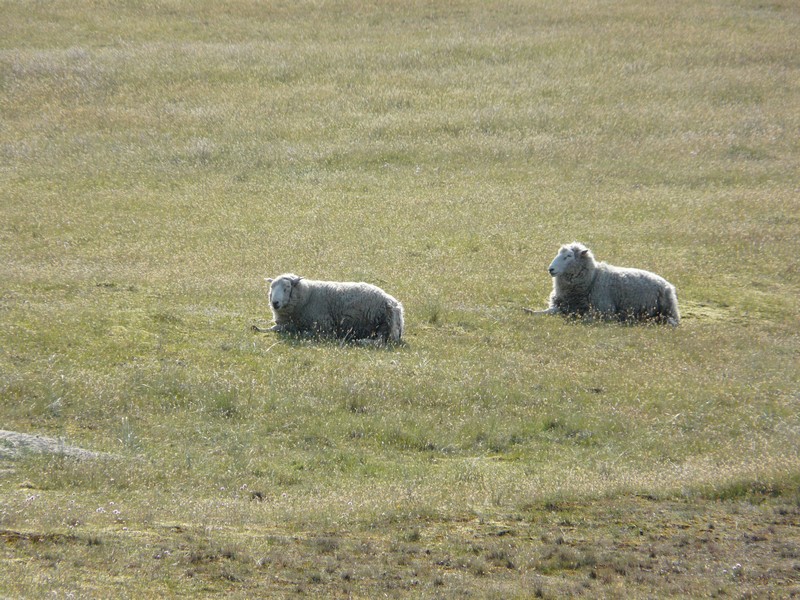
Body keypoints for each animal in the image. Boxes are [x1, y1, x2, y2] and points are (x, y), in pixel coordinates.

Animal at [256, 274, 404, 344]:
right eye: (272, 287)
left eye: (286, 288)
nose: (275, 303)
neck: (307, 296)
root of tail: (395, 303)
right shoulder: (288, 323)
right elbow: (274, 328)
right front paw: (258, 328)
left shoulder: (324, 326)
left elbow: (308, 334)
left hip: (384, 325)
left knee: (380, 342)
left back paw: (361, 341)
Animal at [532, 243, 680, 328]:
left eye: (568, 256)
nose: (550, 269)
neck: (592, 279)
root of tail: (668, 285)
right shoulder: (560, 305)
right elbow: (545, 312)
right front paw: (530, 312)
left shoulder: (604, 311)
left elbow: (586, 318)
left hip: (666, 311)